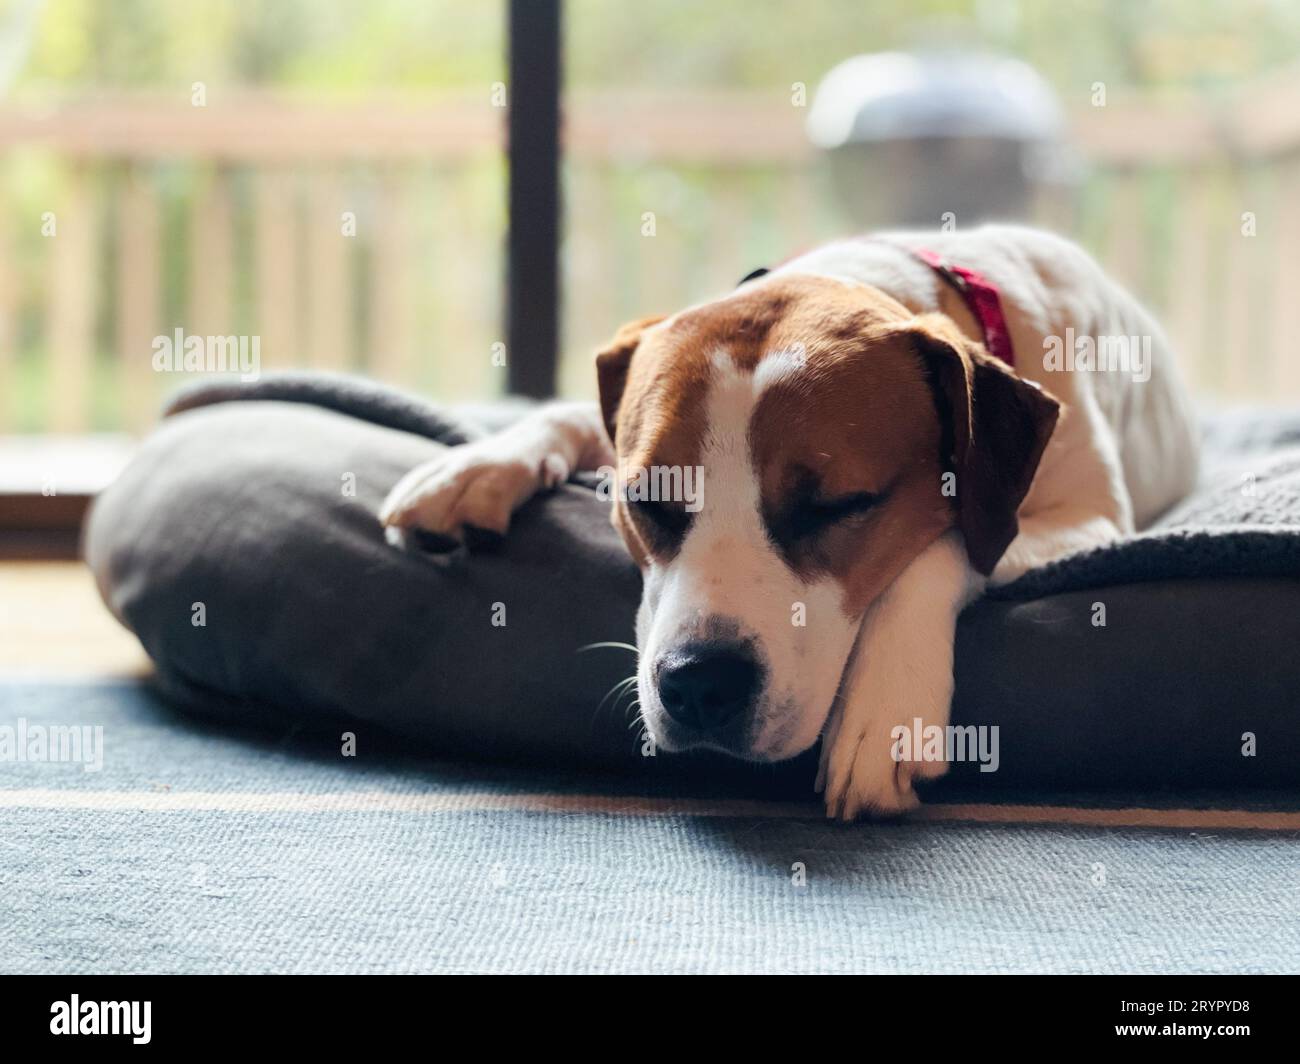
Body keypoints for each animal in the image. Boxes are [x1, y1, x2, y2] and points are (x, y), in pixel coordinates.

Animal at [377, 223, 1196, 816]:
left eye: (838, 506)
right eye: (650, 502)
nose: (698, 684)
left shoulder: (1086, 520)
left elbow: (949, 540)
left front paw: (885, 713)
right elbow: (571, 415)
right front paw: (471, 468)